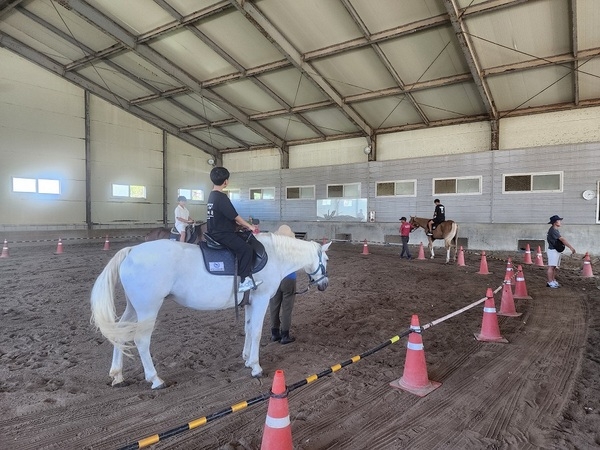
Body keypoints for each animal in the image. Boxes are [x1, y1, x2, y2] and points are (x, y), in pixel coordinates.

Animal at [91, 234, 330, 388]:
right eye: (326, 260)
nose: (324, 284)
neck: (273, 255)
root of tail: (132, 252)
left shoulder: (250, 302)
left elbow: (248, 329)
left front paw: (246, 358)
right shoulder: (261, 300)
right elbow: (256, 332)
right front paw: (255, 367)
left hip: (134, 308)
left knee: (120, 334)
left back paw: (117, 376)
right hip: (148, 308)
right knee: (141, 340)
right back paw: (155, 379)